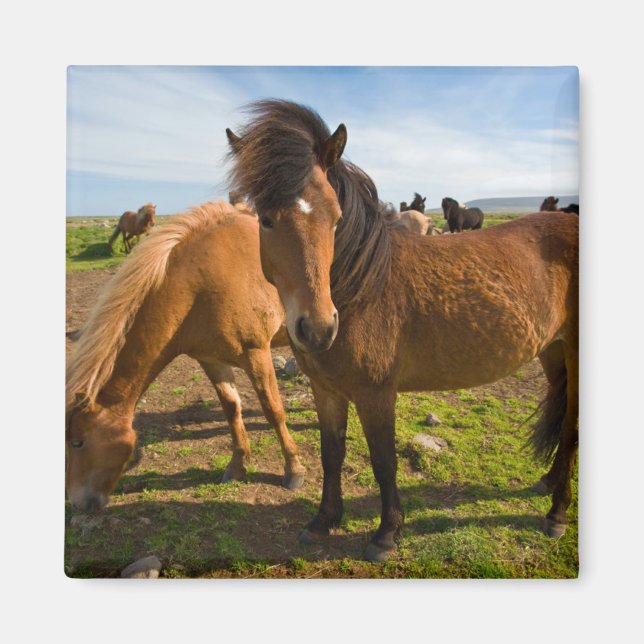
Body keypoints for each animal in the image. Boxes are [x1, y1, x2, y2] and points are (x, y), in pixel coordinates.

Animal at [66, 200, 306, 513]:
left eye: (78, 442)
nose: (78, 502)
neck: (200, 284)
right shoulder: (211, 361)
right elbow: (232, 409)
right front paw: (237, 466)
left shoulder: (257, 353)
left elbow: (273, 410)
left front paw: (294, 468)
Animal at [226, 100, 579, 562]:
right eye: (265, 220)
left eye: (336, 217)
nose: (319, 329)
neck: (362, 287)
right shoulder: (327, 391)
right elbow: (332, 454)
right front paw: (323, 521)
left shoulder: (376, 394)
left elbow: (383, 461)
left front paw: (386, 534)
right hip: (553, 352)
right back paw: (547, 482)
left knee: (572, 431)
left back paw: (556, 514)